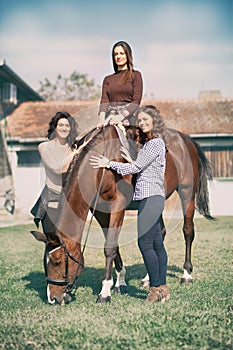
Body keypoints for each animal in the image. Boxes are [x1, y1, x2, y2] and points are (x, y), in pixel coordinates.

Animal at [31, 125, 213, 304]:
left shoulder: (118, 205)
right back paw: (148, 278)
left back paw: (186, 274)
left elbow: (110, 247)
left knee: (188, 231)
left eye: (57, 262)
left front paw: (105, 292)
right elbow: (113, 244)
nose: (53, 298)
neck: (101, 169)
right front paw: (120, 283)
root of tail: (186, 139)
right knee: (159, 234)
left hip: (187, 193)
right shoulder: (100, 211)